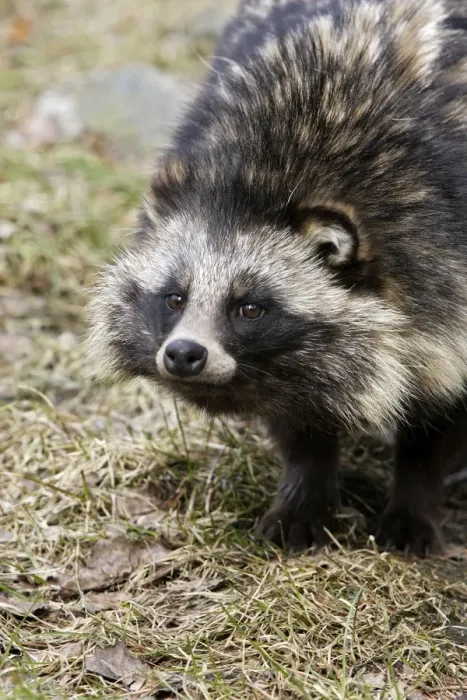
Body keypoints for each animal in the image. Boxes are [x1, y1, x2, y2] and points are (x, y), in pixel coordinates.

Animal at [89, 0, 467, 555]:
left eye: (250, 307)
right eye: (175, 298)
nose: (183, 353)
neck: (256, 180)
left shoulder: (447, 265)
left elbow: (439, 417)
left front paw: (415, 500)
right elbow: (300, 420)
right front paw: (305, 493)